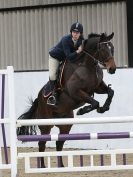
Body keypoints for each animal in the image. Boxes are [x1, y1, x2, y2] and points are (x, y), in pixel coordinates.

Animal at [17, 32, 116, 167]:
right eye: (103, 49)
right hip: (45, 124)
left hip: (65, 125)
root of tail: (38, 99)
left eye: (112, 48)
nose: (113, 69)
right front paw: (83, 110)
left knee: (59, 143)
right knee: (42, 143)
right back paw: (43, 167)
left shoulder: (97, 87)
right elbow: (95, 102)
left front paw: (104, 108)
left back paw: (61, 166)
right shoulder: (75, 92)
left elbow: (110, 92)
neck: (87, 66)